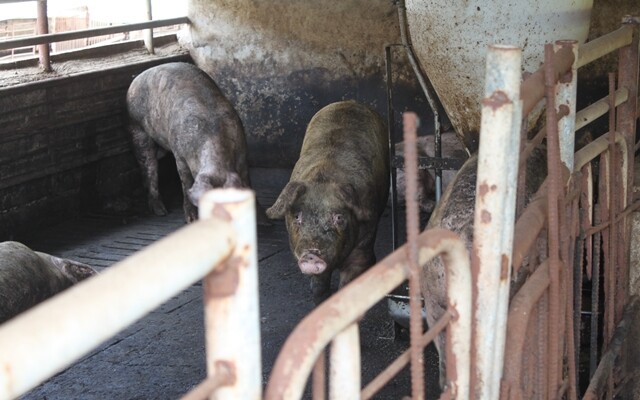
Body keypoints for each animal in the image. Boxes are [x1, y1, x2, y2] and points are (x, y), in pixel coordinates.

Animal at [125, 63, 268, 225]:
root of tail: (135, 79)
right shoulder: (180, 156)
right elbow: (186, 183)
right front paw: (191, 219)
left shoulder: (243, 157)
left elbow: (249, 184)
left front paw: (265, 221)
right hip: (137, 130)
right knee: (149, 169)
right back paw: (161, 212)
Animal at [266, 101, 390, 304]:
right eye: (297, 216)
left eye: (339, 217)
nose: (311, 255)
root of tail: (349, 101)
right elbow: (319, 285)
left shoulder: (365, 240)